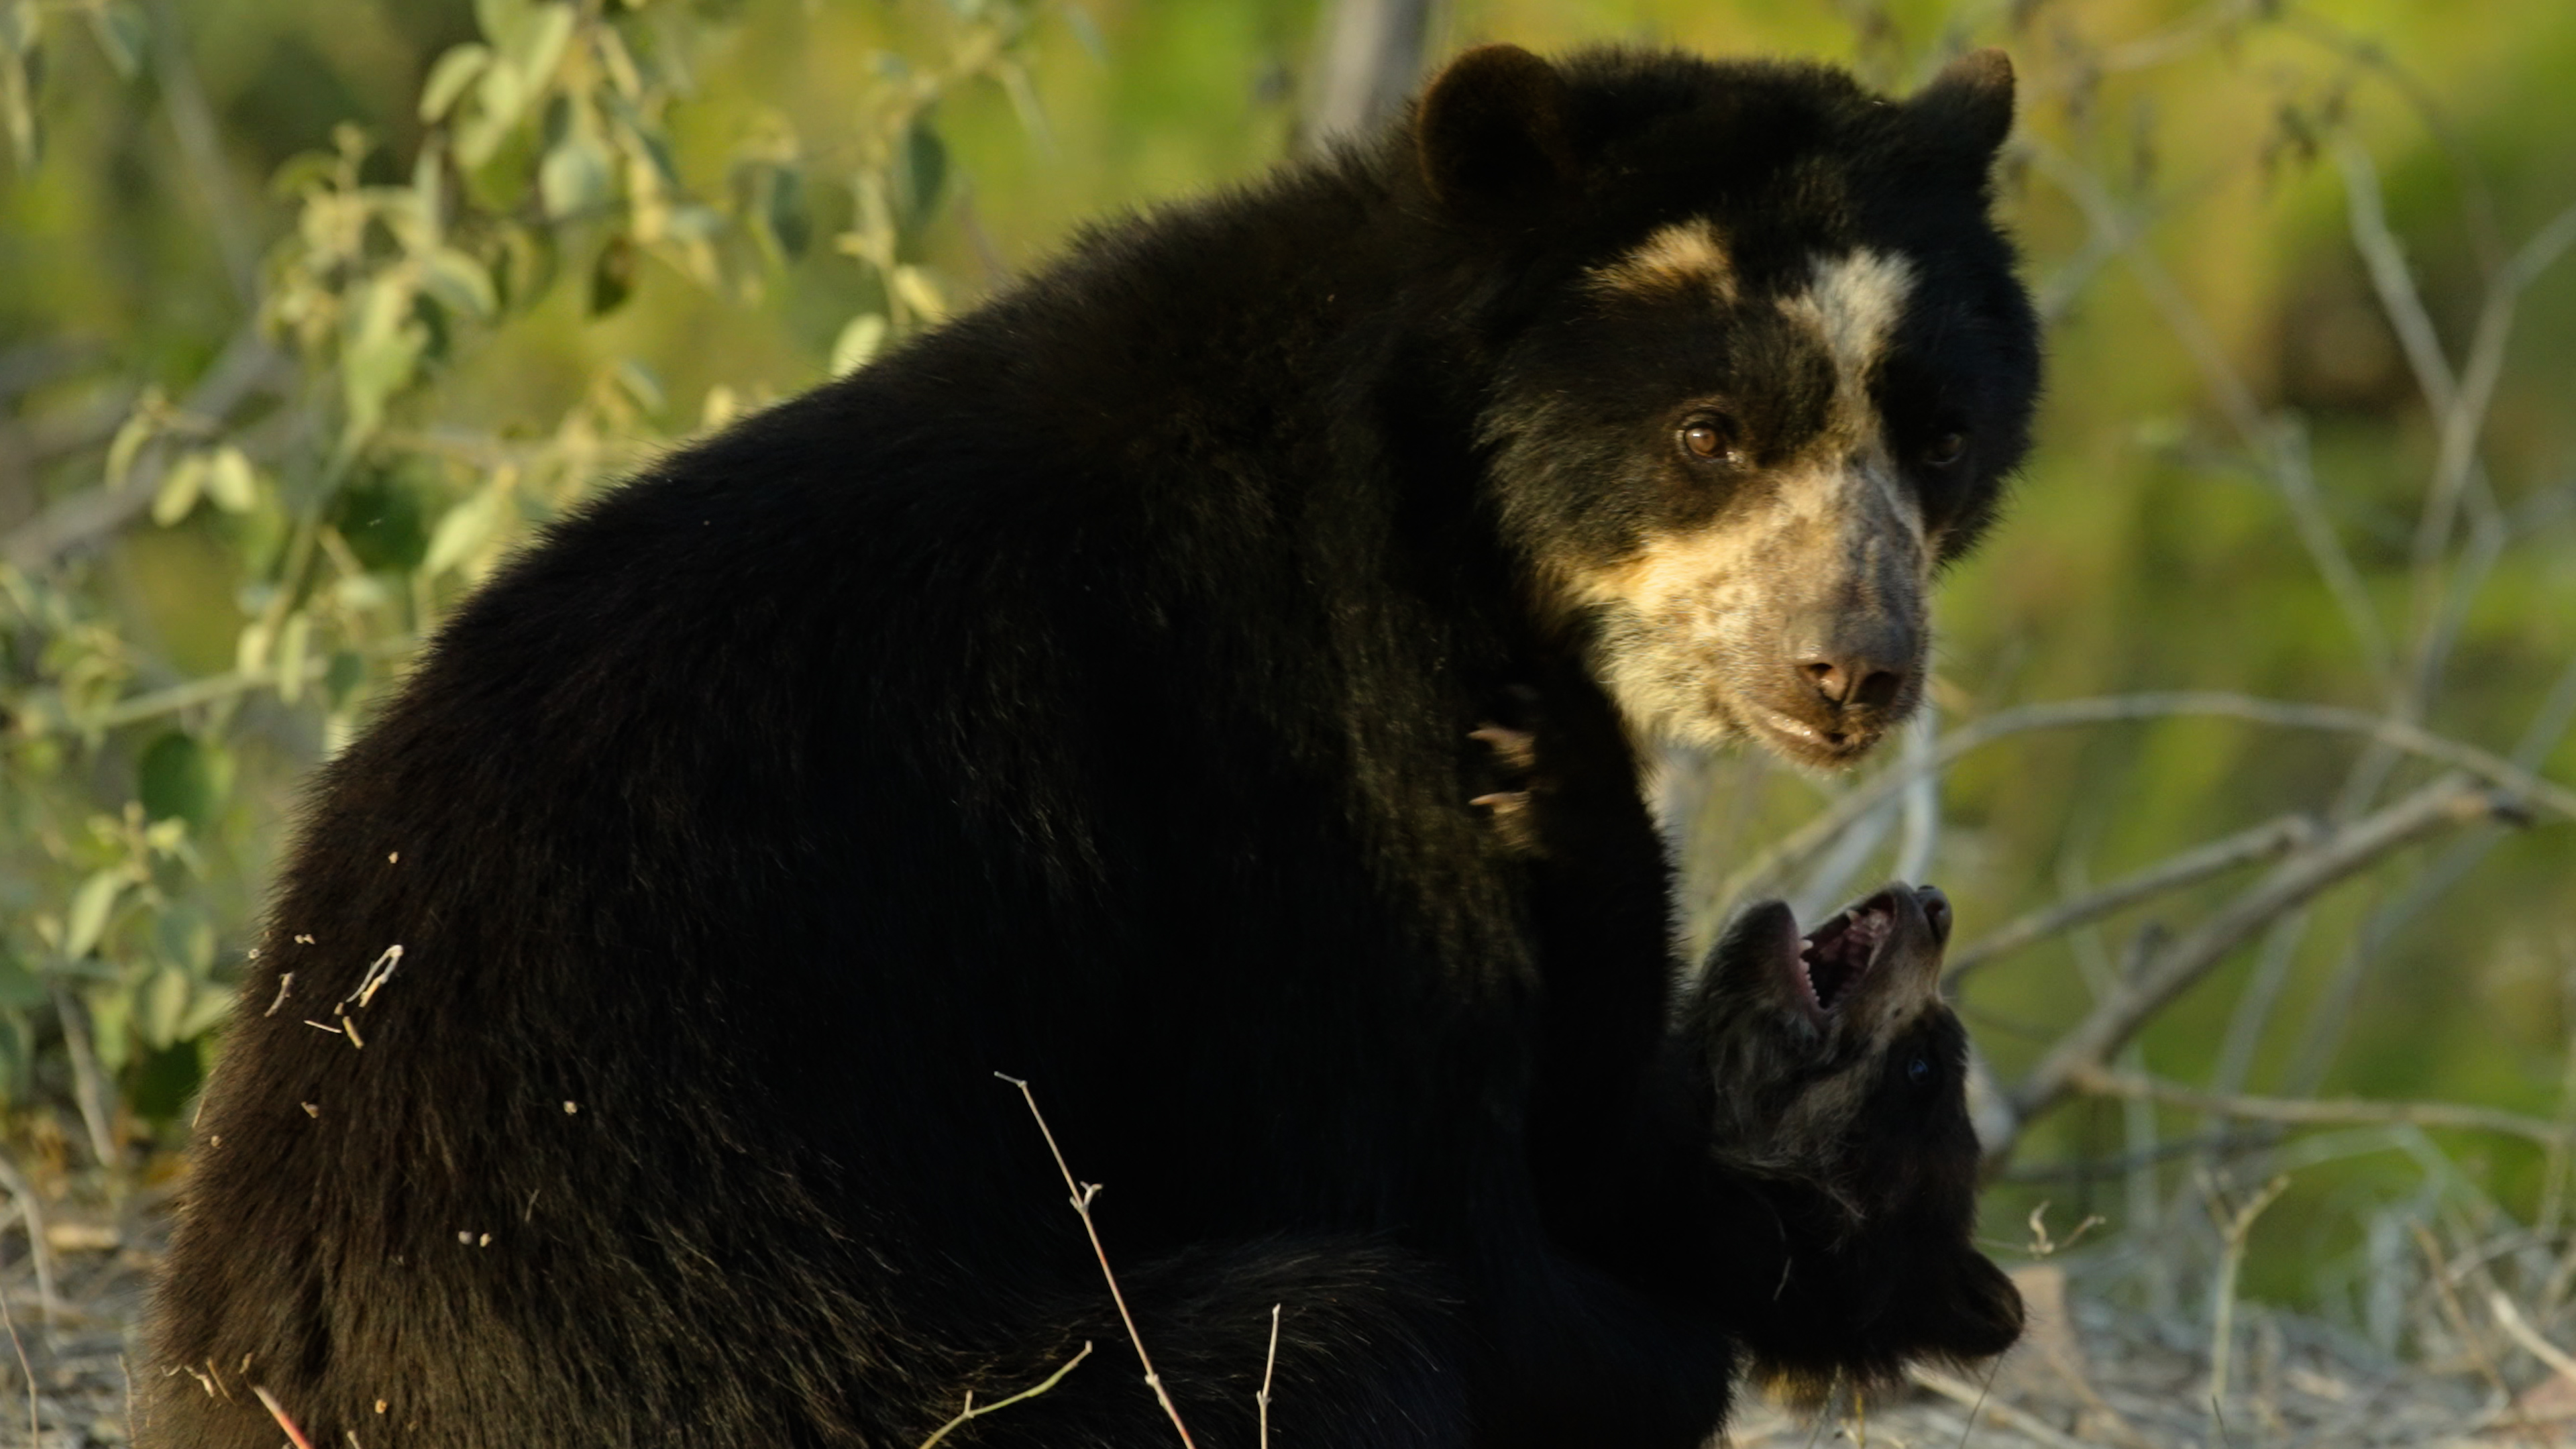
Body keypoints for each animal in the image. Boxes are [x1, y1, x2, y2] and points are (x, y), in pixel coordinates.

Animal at [142, 40, 2040, 1449]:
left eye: (1939, 441)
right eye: (1708, 435)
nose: (1852, 675)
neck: (1445, 492)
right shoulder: (1299, 730)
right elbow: (1409, 1152)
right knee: (1343, 1337)